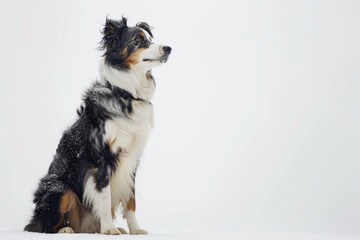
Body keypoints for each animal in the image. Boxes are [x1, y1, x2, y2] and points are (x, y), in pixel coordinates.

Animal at [23, 16, 172, 234]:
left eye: (150, 39)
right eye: (138, 40)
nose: (169, 48)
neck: (125, 94)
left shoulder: (132, 158)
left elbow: (131, 199)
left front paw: (135, 229)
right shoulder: (101, 158)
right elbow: (105, 196)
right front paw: (109, 229)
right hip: (59, 188)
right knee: (40, 226)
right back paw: (65, 230)